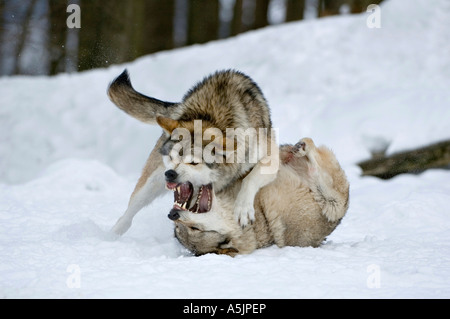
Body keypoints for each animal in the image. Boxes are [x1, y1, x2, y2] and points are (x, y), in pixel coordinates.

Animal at [171, 138, 350, 258]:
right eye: (193, 229)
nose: (172, 214)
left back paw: (298, 147)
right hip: (334, 205)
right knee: (317, 170)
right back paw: (303, 149)